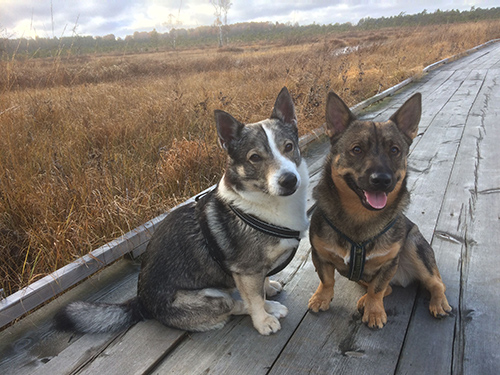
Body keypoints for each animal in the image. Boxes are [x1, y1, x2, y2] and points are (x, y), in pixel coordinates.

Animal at [56, 87, 310, 334]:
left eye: (288, 147)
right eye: (255, 158)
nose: (289, 180)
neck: (264, 203)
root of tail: (141, 304)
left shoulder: (256, 269)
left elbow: (263, 283)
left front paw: (269, 288)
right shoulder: (247, 271)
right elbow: (255, 299)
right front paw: (263, 320)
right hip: (214, 297)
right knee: (236, 305)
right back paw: (270, 309)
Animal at [308, 92, 454, 330]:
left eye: (394, 150)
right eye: (357, 149)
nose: (382, 180)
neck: (360, 215)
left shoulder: (388, 265)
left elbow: (377, 290)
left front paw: (375, 311)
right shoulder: (320, 255)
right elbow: (327, 280)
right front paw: (322, 298)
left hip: (414, 246)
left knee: (435, 283)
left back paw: (438, 302)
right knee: (388, 288)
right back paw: (364, 299)